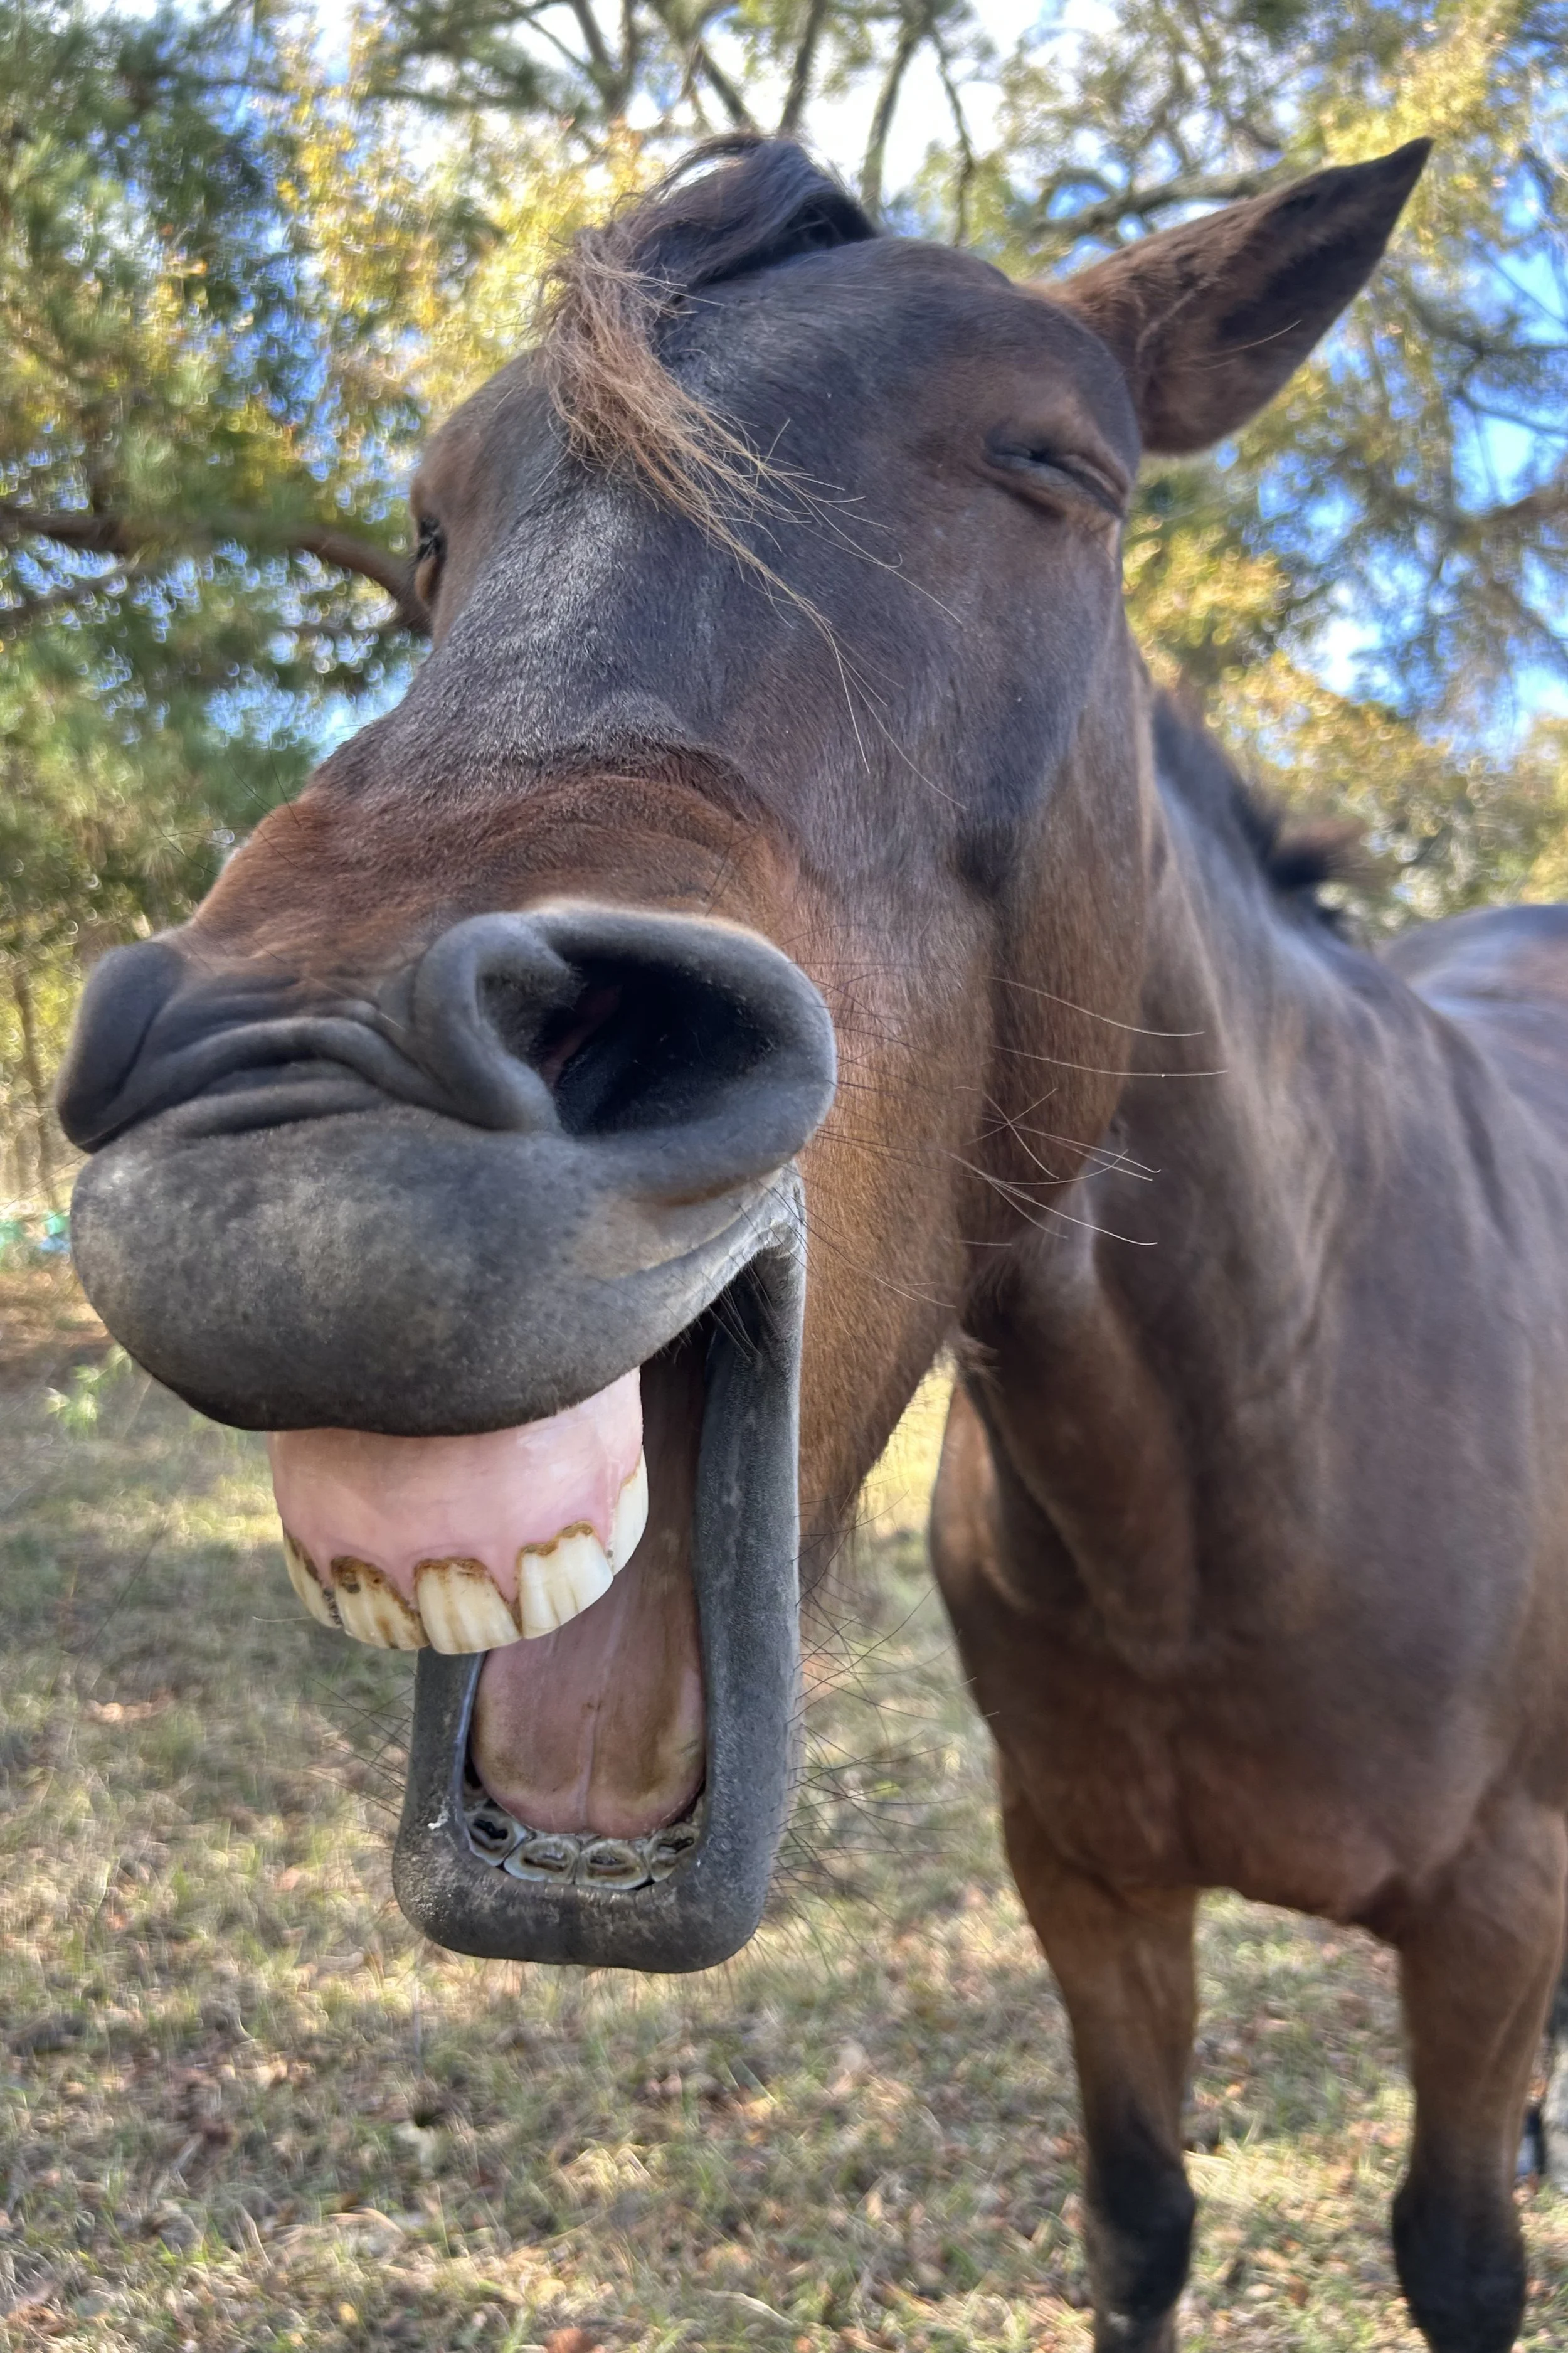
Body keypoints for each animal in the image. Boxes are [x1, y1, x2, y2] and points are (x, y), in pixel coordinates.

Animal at [55, 134, 1568, 2352]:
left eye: (1060, 465)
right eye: (432, 526)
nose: (294, 1111)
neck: (1243, 1478)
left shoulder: (1482, 1919)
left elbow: (1459, 2256)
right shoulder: (1088, 1888)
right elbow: (1136, 2215)